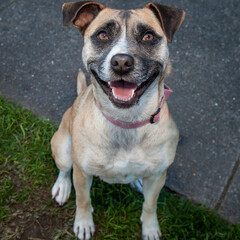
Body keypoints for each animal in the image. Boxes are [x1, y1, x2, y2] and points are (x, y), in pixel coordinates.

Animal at [51, 1, 186, 238]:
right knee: (65, 169)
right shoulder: (82, 172)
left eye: (148, 36)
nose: (122, 62)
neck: (127, 121)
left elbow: (150, 205)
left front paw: (150, 228)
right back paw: (62, 187)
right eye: (102, 35)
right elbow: (83, 200)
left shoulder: (158, 176)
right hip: (63, 149)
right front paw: (83, 223)